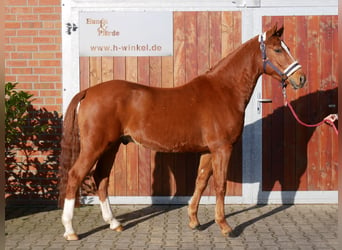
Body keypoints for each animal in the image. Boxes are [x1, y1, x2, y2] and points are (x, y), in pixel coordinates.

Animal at [58, 25, 304, 240]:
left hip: (112, 146)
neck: (224, 91)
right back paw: (70, 230)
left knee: (101, 178)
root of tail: (88, 91)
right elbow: (220, 185)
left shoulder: (208, 151)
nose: (301, 78)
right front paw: (224, 226)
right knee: (75, 176)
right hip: (95, 146)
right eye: (278, 49)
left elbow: (201, 181)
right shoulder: (222, 149)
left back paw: (114, 223)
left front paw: (194, 221)